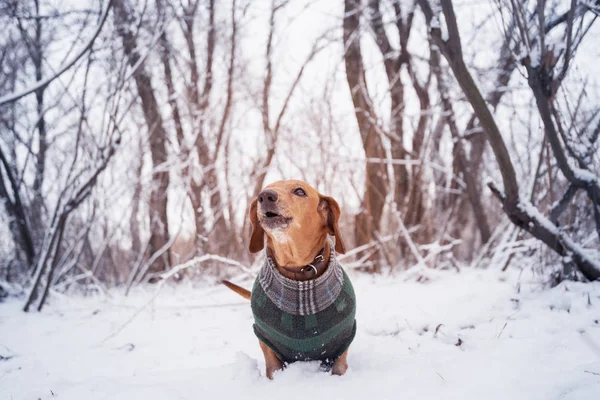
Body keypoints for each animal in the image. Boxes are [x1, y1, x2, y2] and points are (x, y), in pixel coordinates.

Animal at [225, 180, 356, 378]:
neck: (298, 273)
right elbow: (272, 367)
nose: (265, 196)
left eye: (300, 191)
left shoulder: (344, 338)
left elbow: (339, 367)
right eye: (265, 190)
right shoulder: (265, 339)